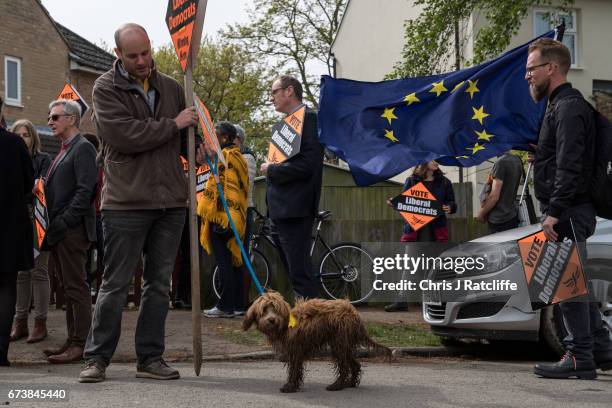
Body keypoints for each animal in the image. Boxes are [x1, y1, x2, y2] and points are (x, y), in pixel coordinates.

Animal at [244, 290, 392, 392]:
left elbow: (294, 370)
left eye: (276, 309)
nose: (271, 320)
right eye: (264, 310)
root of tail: (353, 312)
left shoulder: (295, 351)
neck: (285, 325)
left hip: (339, 342)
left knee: (344, 366)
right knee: (354, 364)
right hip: (343, 343)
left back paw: (337, 385)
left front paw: (290, 387)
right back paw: (350, 383)